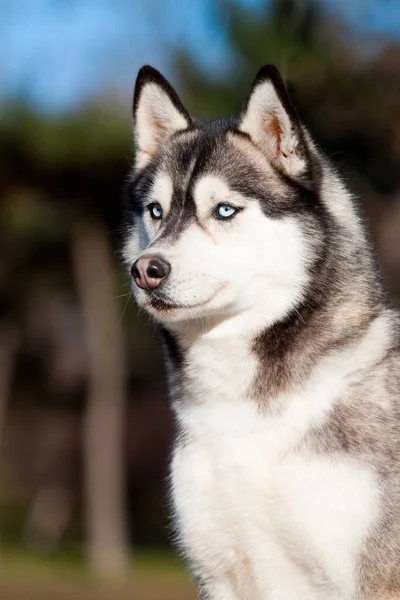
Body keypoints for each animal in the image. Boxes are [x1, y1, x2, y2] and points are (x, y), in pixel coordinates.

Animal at [123, 65, 400, 600]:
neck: (244, 415)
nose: (146, 270)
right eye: (156, 211)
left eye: (225, 210)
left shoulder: (374, 579)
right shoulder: (220, 575)